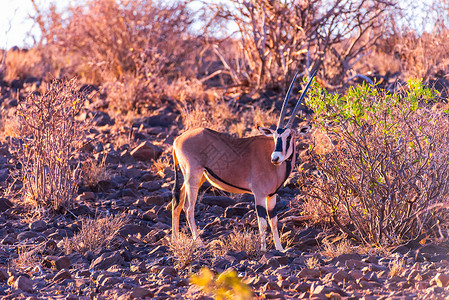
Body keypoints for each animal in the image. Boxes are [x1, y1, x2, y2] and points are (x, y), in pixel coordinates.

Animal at [172, 71, 316, 251]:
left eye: (289, 136)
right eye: (275, 137)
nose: (275, 158)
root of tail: (177, 139)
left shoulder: (271, 196)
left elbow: (274, 221)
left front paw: (280, 249)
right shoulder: (259, 195)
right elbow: (262, 222)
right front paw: (263, 250)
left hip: (195, 178)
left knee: (176, 202)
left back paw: (175, 240)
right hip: (193, 176)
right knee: (188, 207)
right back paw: (198, 242)